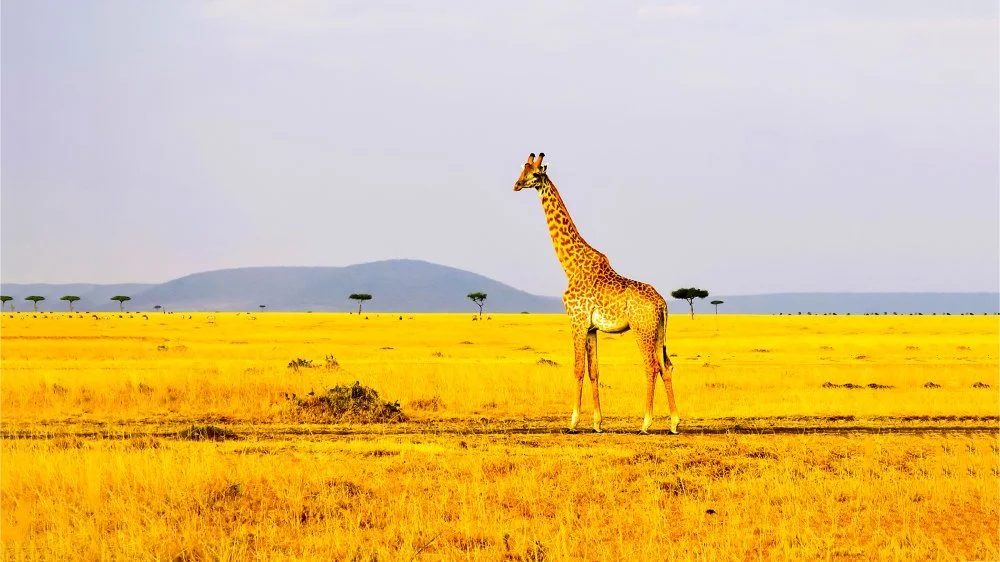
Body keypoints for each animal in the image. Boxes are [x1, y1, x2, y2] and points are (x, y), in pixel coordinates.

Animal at [514, 152, 679, 434]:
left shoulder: (577, 319)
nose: (516, 184)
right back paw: (674, 422)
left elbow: (578, 369)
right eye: (521, 170)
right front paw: (597, 423)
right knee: (666, 366)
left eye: (534, 174)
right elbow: (594, 371)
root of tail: (662, 304)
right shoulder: (591, 327)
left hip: (642, 330)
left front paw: (573, 422)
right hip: (658, 333)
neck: (570, 265)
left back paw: (645, 423)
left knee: (651, 366)